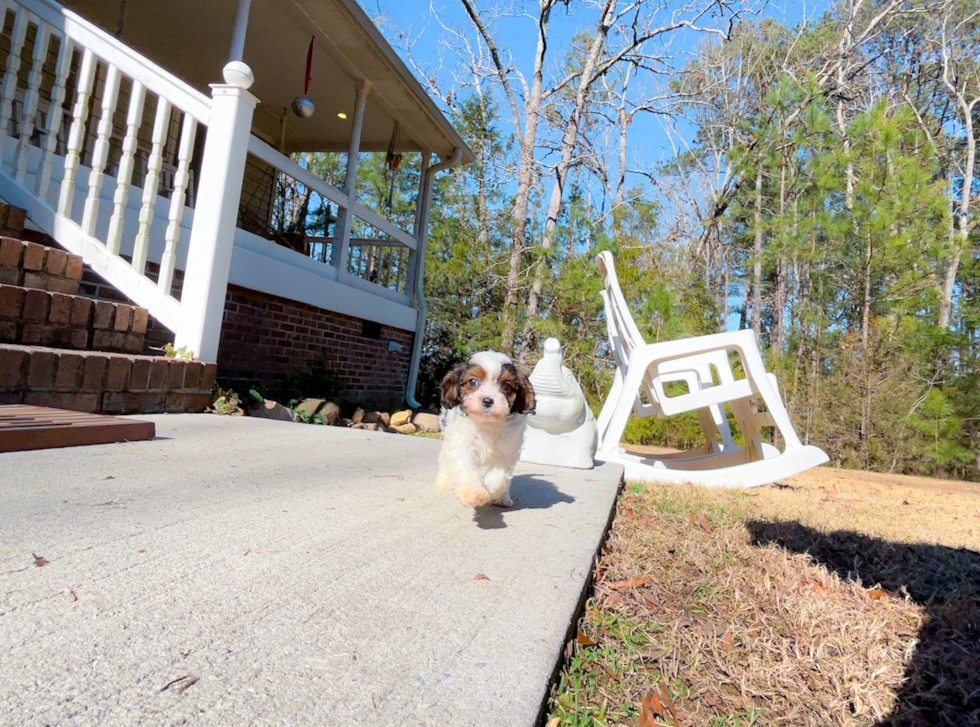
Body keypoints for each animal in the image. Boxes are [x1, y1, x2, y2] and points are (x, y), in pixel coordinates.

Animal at [436, 352, 536, 510]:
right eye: (472, 382)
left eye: (506, 386)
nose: (488, 401)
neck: (487, 424)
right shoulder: (461, 444)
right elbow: (465, 467)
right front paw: (473, 493)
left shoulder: (507, 450)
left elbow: (499, 476)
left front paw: (492, 490)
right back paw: (443, 483)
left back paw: (502, 498)